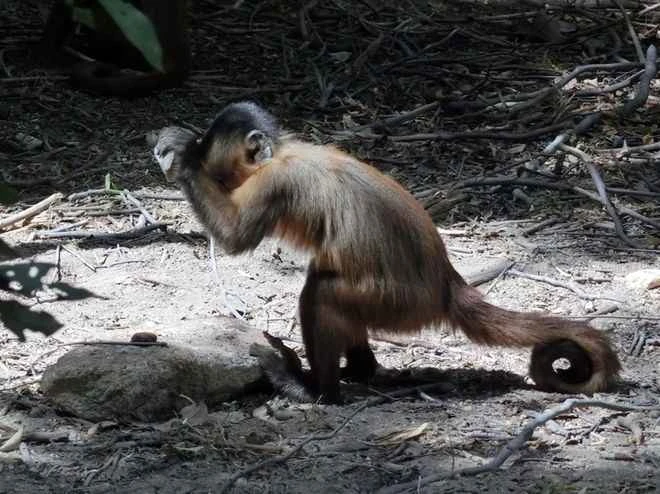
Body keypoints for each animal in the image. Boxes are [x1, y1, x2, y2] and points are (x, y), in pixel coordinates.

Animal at [152, 102, 621, 404]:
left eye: (207, 150)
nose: (196, 152)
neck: (281, 152)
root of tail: (448, 285)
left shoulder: (275, 181)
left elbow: (235, 240)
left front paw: (180, 154)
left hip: (398, 304)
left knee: (321, 292)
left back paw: (318, 392)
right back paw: (359, 371)